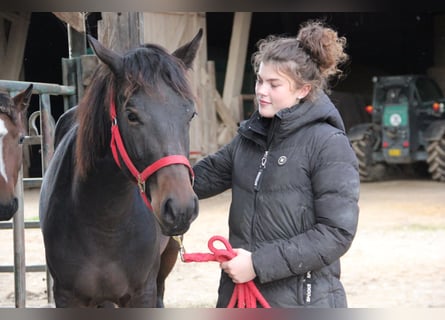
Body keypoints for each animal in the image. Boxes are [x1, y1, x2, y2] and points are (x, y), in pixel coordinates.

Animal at [39, 30, 202, 308]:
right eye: (131, 116)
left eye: (190, 115)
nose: (180, 207)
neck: (106, 224)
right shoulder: (67, 296)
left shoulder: (143, 293)